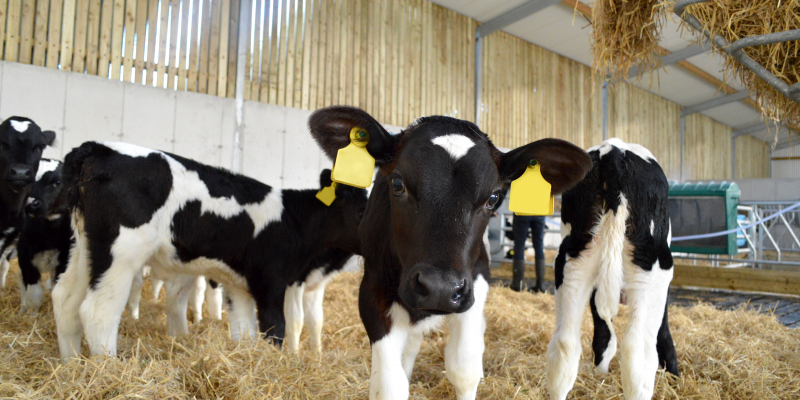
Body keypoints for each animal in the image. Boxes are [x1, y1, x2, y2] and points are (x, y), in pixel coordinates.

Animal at [52, 141, 367, 361]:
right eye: (362, 207)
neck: (291, 219)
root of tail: (98, 148)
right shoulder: (271, 283)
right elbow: (276, 329)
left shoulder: (238, 285)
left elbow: (244, 332)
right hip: (121, 253)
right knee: (98, 310)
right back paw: (108, 368)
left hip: (85, 248)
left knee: (65, 299)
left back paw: (71, 365)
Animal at [309, 106, 592, 400]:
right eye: (397, 184)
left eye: (493, 197)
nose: (440, 288)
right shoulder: (372, 287)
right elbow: (389, 383)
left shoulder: (475, 281)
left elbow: (463, 369)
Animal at [546, 138, 679, 400]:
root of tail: (614, 151)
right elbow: (664, 335)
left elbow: (603, 336)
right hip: (653, 269)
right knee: (637, 353)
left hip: (571, 264)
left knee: (565, 345)